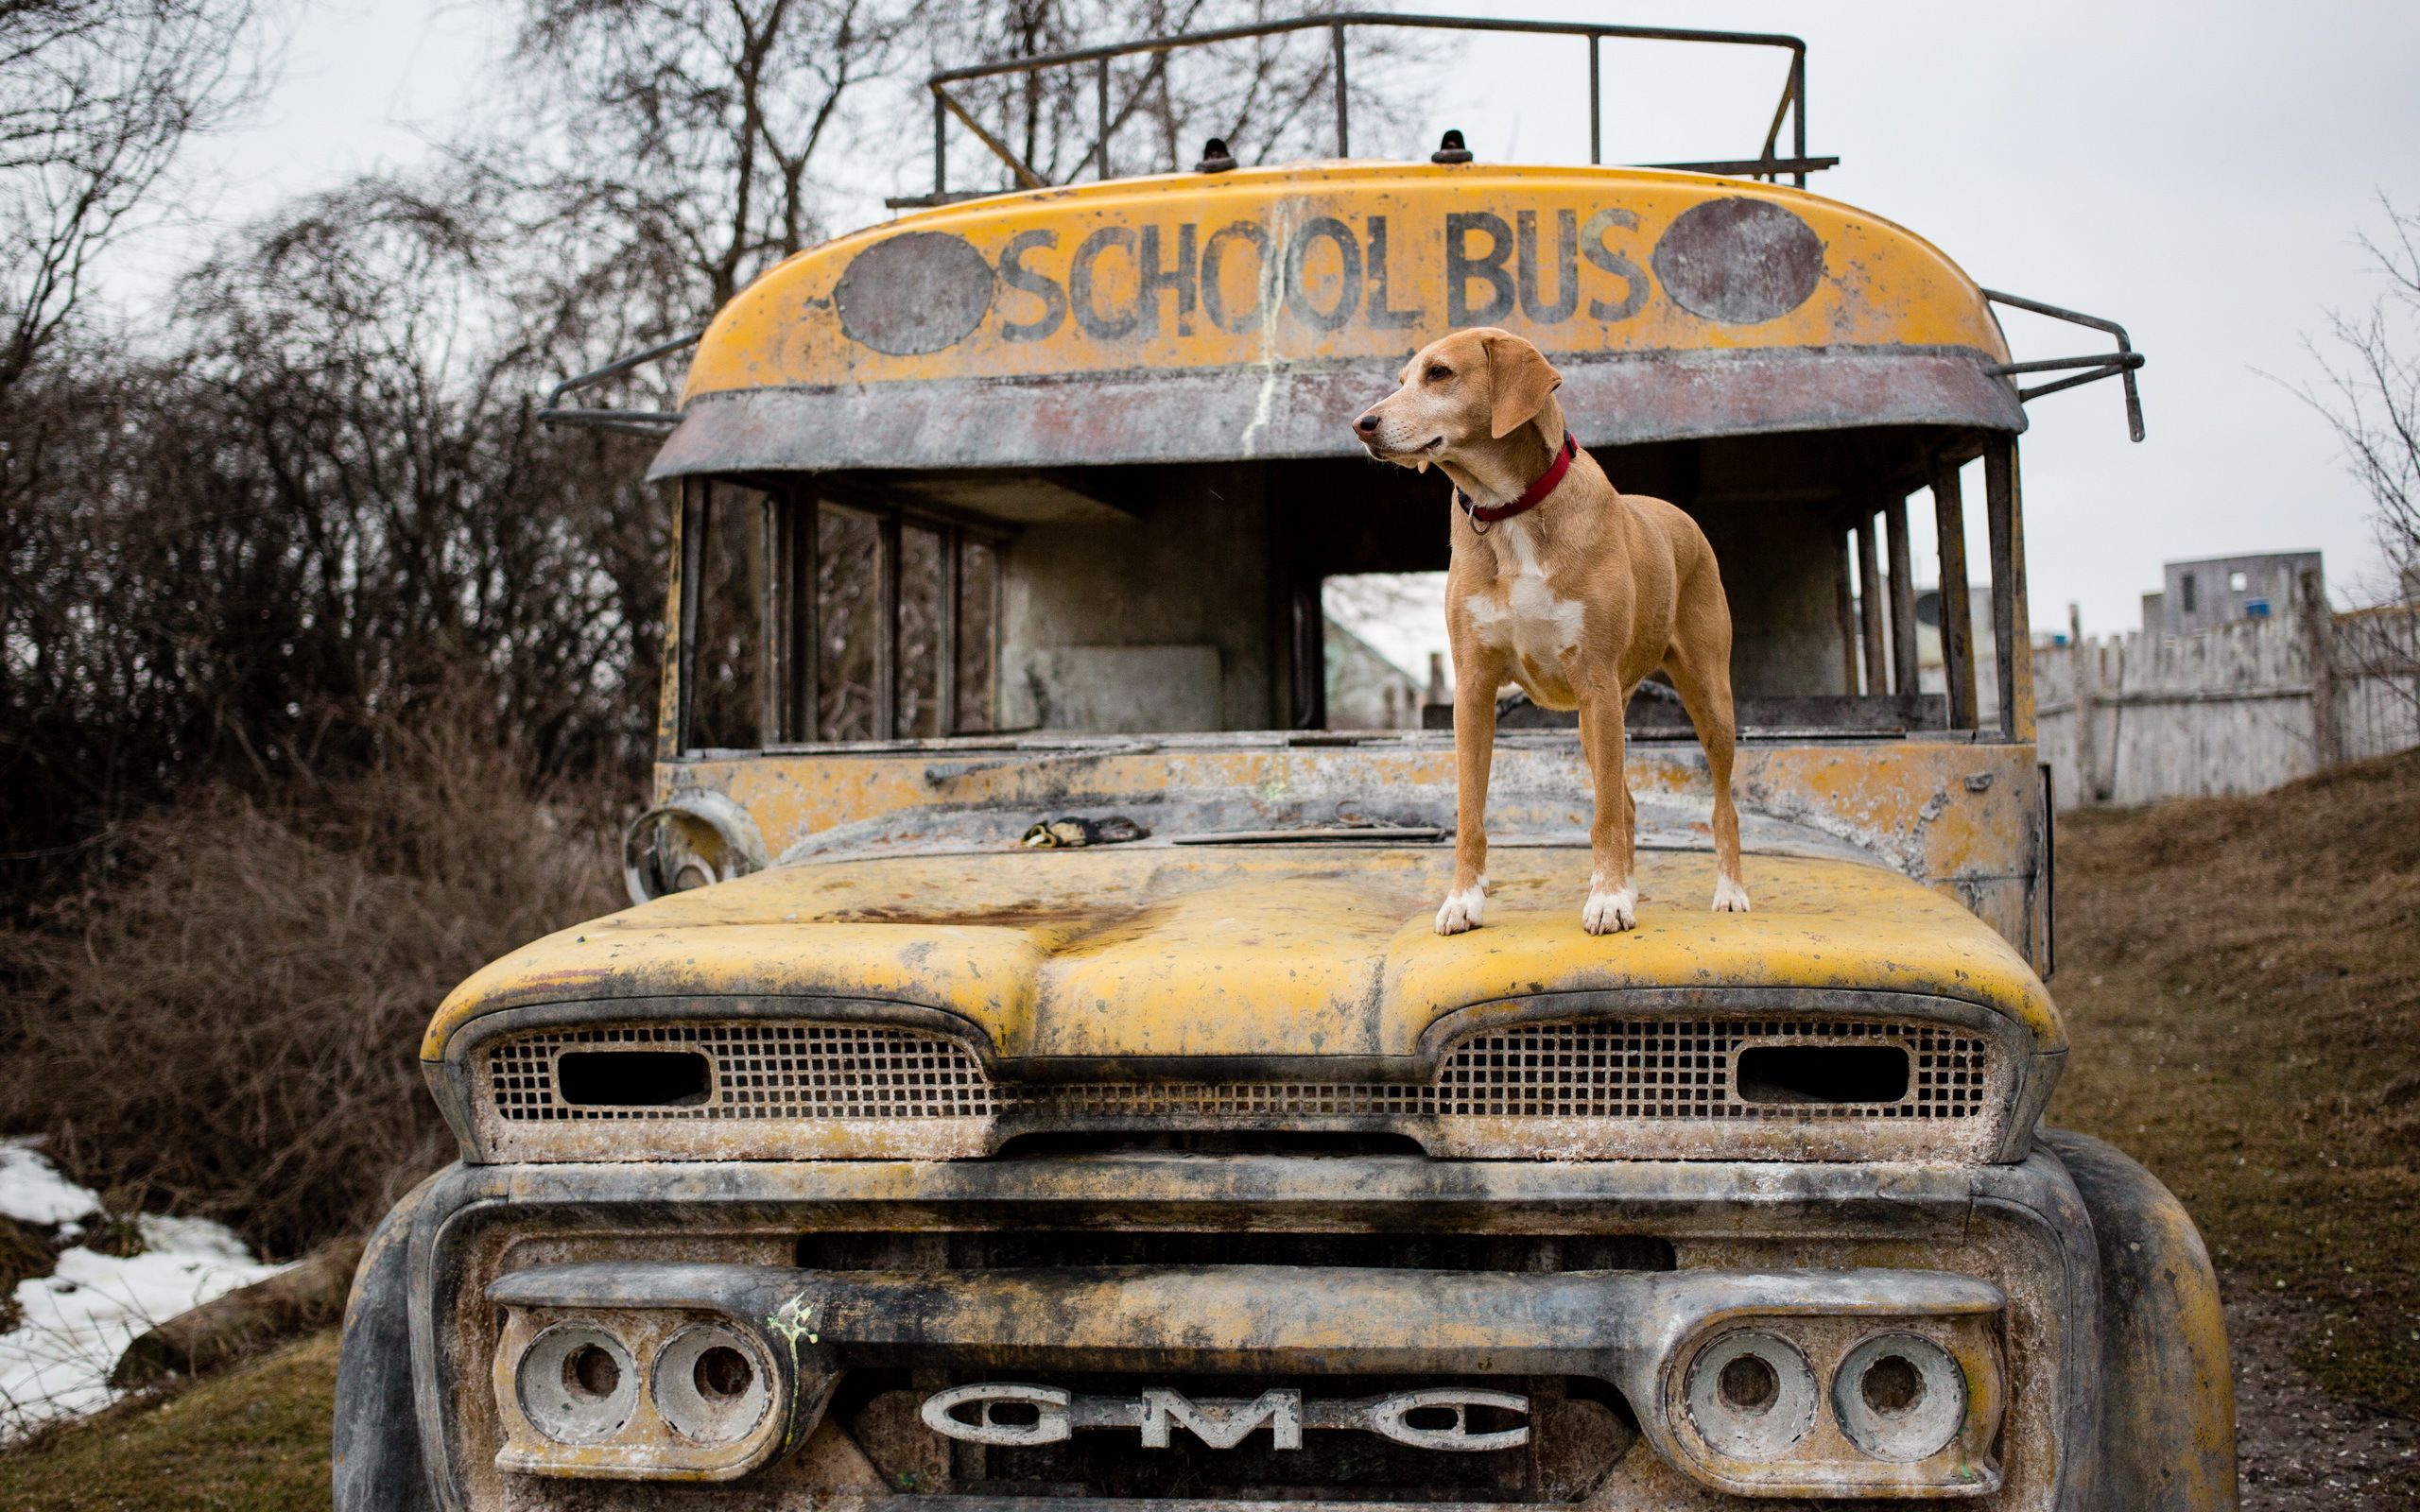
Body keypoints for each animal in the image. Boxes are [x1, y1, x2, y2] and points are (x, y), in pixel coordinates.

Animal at [1355, 329, 1752, 934]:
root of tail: (1678, 516)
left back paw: (1726, 891)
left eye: (1439, 373)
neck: (1509, 511)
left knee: (1719, 803)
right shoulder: (1473, 690)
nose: (1362, 423)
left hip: (1703, 699)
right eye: (1401, 380)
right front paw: (1463, 900)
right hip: (1598, 720)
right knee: (1626, 802)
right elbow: (1471, 813)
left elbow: (1604, 814)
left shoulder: (1595, 681)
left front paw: (1608, 899)